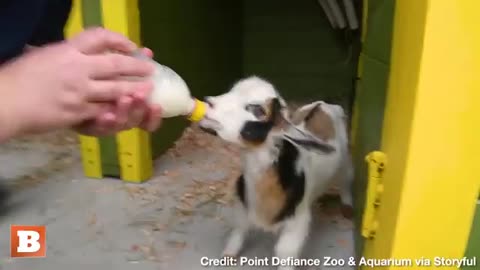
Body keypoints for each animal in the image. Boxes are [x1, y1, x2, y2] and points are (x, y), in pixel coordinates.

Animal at [198, 76, 352, 270]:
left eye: (258, 110)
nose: (208, 102)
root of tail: (324, 104)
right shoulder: (244, 203)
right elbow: (240, 227)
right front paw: (229, 254)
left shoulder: (297, 223)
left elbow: (285, 252)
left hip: (345, 159)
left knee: (346, 178)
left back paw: (347, 207)